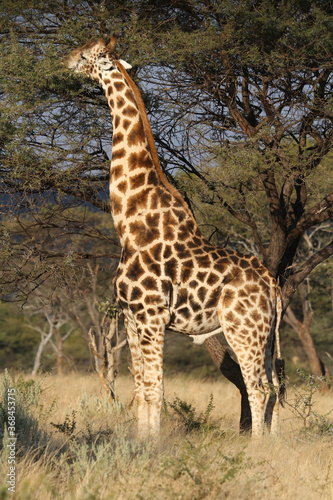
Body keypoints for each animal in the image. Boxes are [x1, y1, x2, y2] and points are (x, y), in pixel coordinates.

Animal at [67, 36, 282, 438]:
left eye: (87, 54)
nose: (66, 61)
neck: (129, 224)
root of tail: (273, 285)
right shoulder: (132, 318)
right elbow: (141, 388)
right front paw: (140, 443)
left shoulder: (152, 316)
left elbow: (156, 390)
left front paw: (153, 444)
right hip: (267, 332)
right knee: (275, 385)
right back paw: (274, 442)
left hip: (244, 328)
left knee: (258, 387)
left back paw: (257, 445)